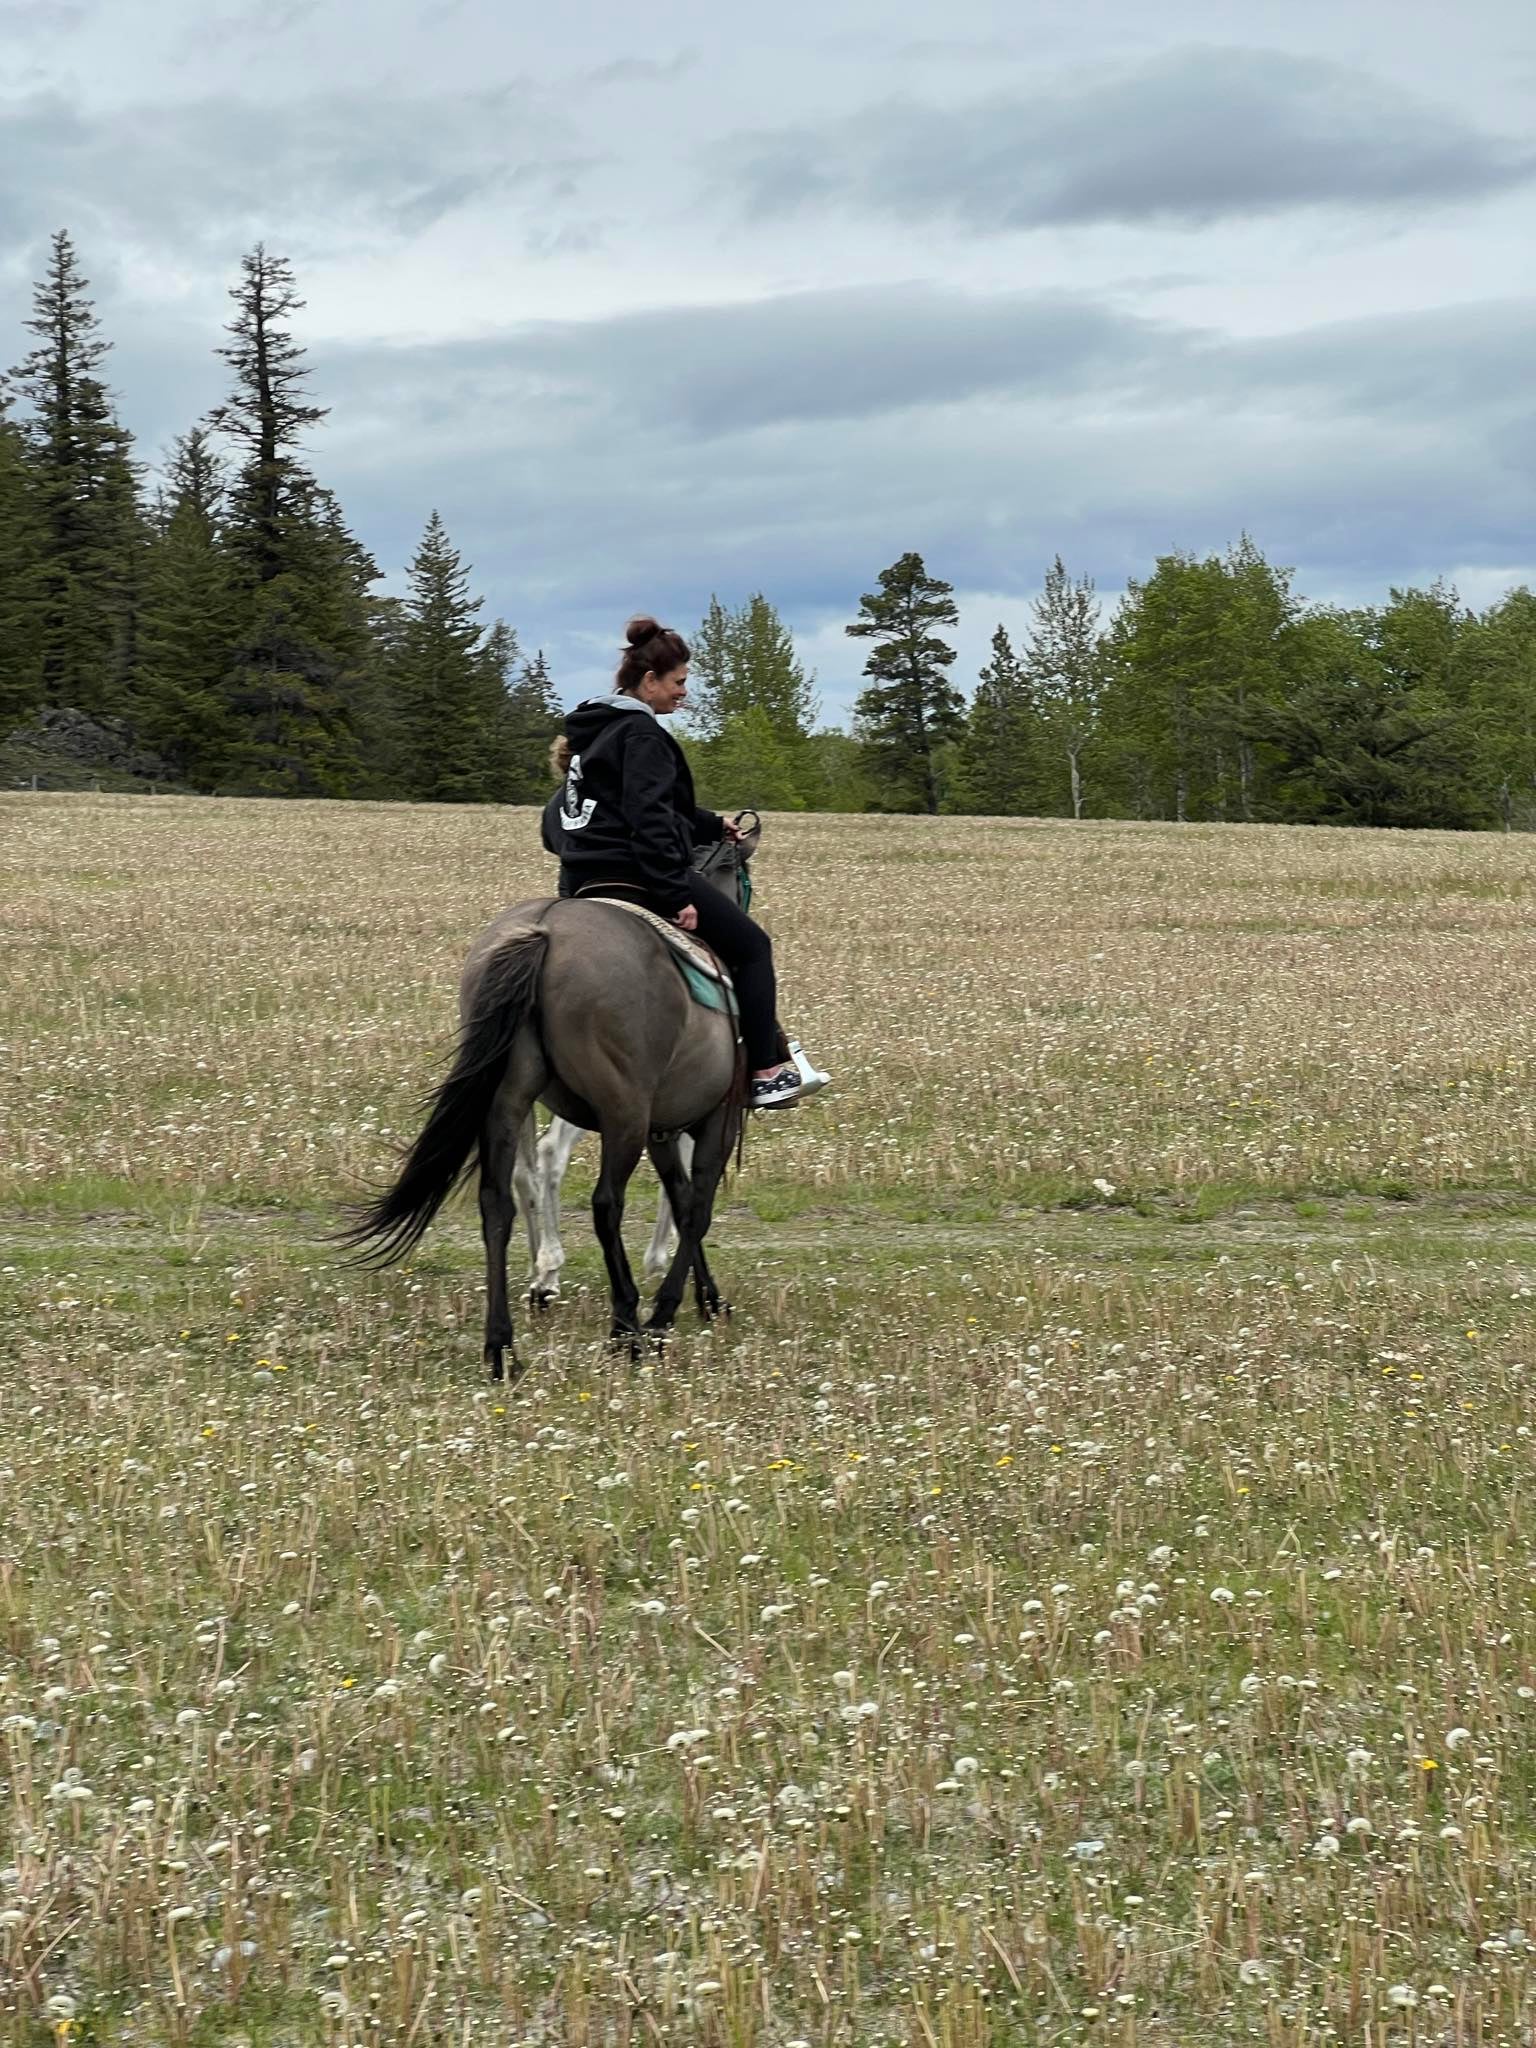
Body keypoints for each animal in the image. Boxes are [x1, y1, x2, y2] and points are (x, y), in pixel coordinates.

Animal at [343, 894, 745, 1379]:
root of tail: (544, 929)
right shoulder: (715, 1121)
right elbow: (696, 1210)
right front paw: (666, 1313)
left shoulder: (663, 1131)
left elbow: (682, 1199)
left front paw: (705, 1297)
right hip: (623, 1112)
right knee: (602, 1202)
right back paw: (622, 1325)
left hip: (508, 1099)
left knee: (499, 1202)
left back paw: (503, 1344)